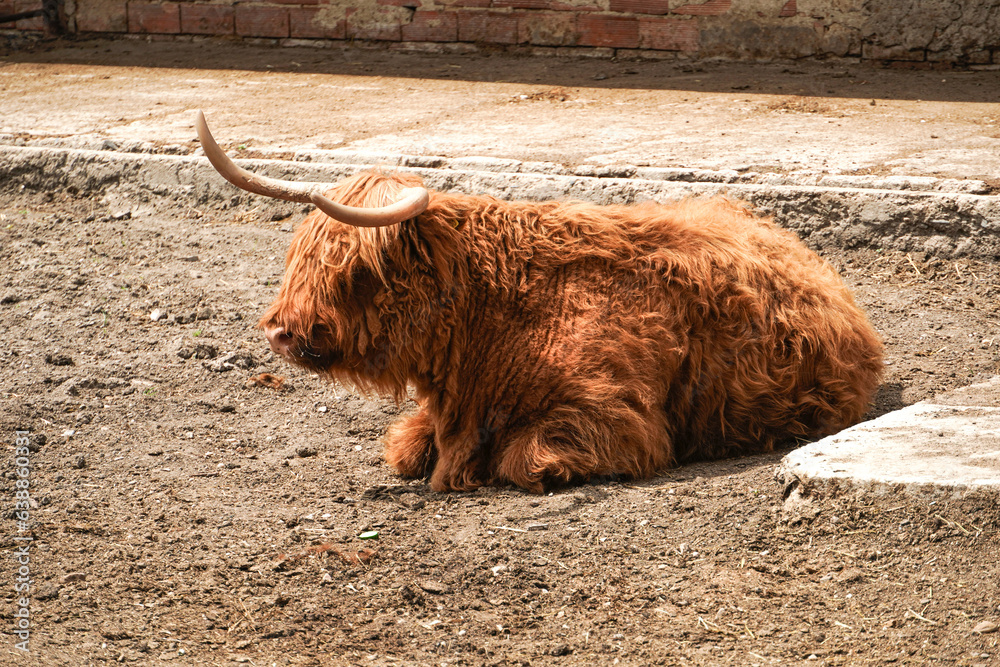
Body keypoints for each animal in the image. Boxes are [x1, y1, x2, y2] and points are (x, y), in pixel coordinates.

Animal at [196, 111, 884, 494]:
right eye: (300, 255)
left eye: (356, 267)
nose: (281, 331)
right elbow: (404, 449)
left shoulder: (619, 418)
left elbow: (524, 460)